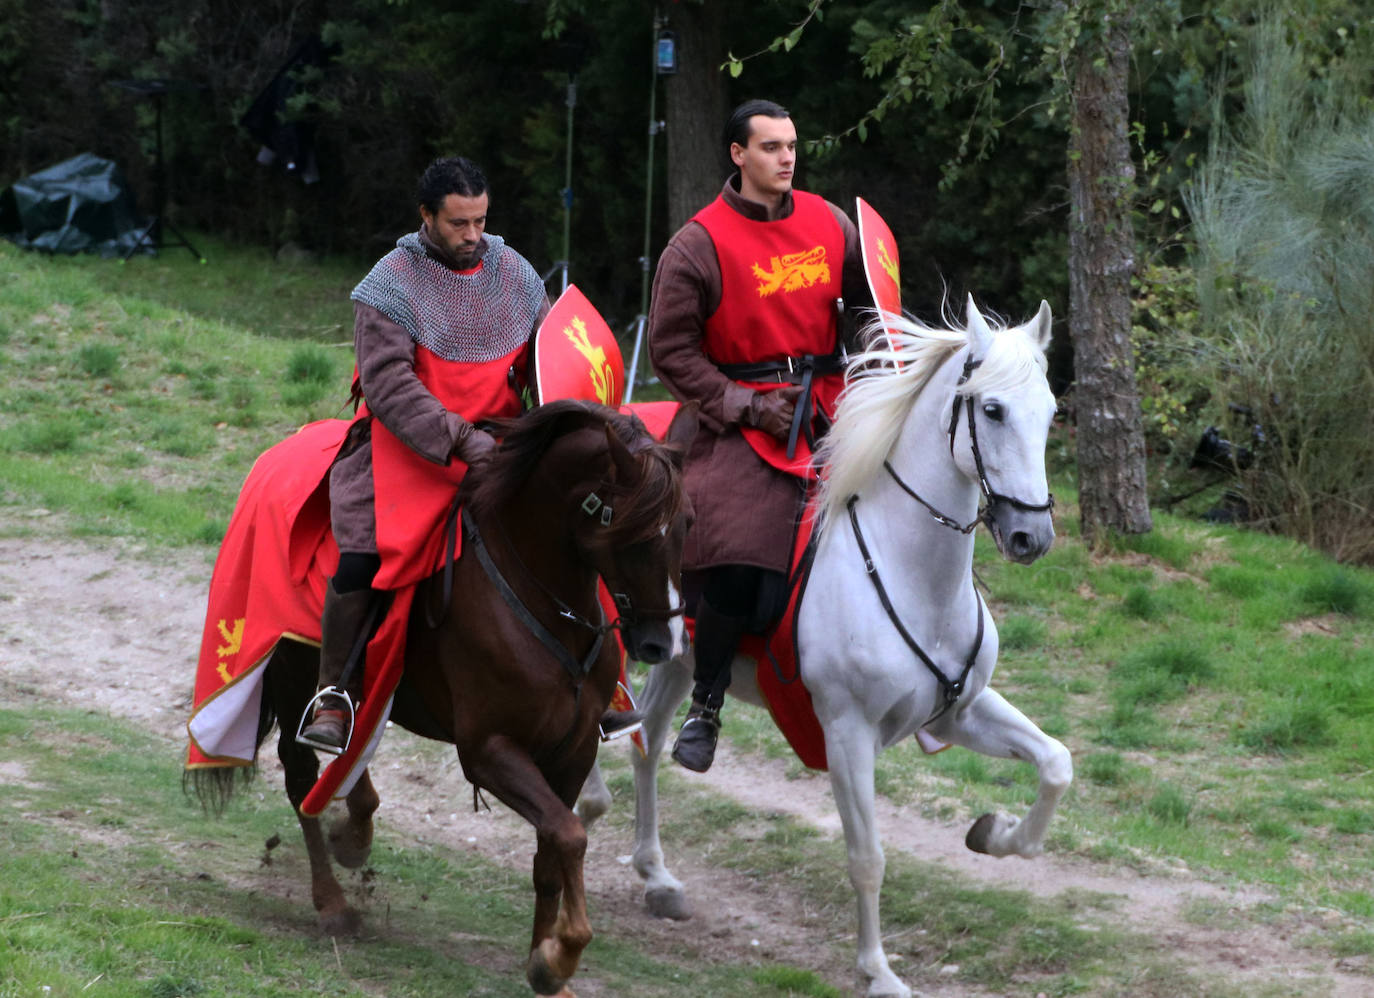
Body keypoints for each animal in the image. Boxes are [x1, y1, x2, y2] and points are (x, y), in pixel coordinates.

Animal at [193, 401, 697, 995]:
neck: (540, 602)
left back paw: (353, 833)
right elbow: (570, 836)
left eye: (687, 525)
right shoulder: (489, 750)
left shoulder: (574, 751)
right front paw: (560, 954)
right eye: (632, 531)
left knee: (352, 758)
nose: (662, 642)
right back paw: (333, 903)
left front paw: (545, 963)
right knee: (302, 778)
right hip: (294, 676)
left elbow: (552, 848)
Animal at [579, 296, 1071, 998]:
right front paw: (878, 970)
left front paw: (996, 834)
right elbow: (867, 857)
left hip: (676, 657)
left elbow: (1057, 764)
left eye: (1051, 412)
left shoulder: (959, 711)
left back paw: (657, 876)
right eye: (994, 410)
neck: (905, 566)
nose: (1032, 535)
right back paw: (587, 808)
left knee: (646, 743)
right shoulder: (847, 731)